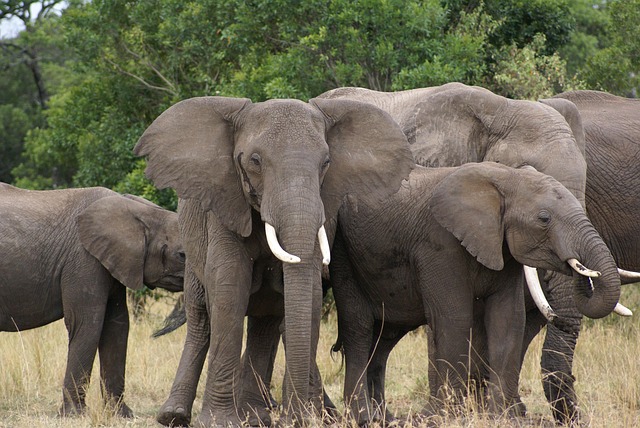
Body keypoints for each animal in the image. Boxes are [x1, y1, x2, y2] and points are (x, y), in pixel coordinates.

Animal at [0, 184, 185, 417]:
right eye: (182, 256)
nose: (156, 333)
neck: (137, 208)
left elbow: (117, 326)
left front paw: (122, 415)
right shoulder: (84, 259)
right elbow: (87, 323)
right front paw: (74, 415)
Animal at [133, 96, 414, 426]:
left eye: (326, 163)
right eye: (255, 161)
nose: (296, 416)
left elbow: (307, 294)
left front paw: (298, 417)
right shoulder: (225, 203)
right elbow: (229, 288)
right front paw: (219, 422)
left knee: (265, 322)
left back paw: (255, 416)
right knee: (201, 317)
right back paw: (174, 415)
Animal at [328, 162, 621, 425]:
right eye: (544, 218)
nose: (579, 268)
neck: (505, 177)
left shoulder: (502, 248)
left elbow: (508, 320)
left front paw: (501, 418)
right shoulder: (440, 243)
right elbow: (455, 319)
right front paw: (449, 417)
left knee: (385, 336)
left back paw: (384, 419)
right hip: (343, 253)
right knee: (360, 329)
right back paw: (363, 418)